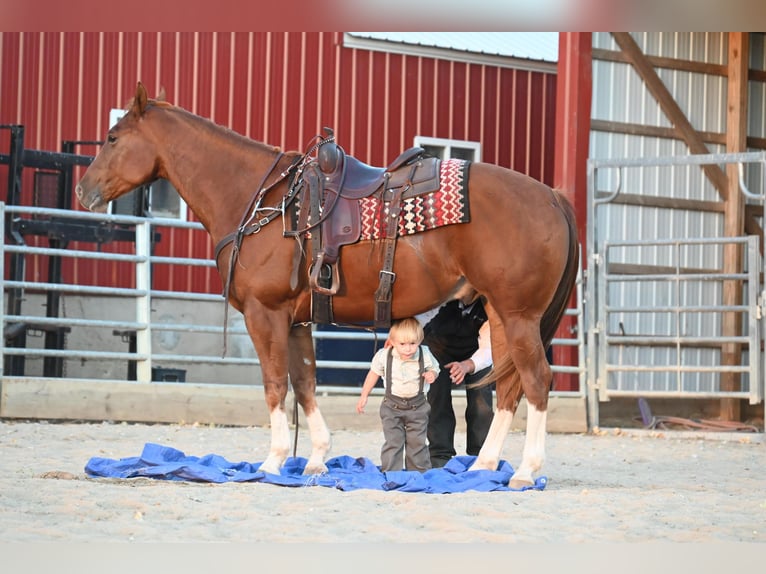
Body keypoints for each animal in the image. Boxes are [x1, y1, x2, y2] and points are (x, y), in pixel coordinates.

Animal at [79, 82, 584, 490]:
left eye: (113, 137)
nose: (84, 191)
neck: (264, 202)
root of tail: (551, 197)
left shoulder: (265, 315)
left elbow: (273, 386)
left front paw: (273, 462)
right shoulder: (297, 321)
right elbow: (304, 384)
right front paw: (316, 460)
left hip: (519, 317)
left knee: (535, 381)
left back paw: (524, 471)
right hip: (502, 316)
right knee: (510, 386)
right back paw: (483, 467)